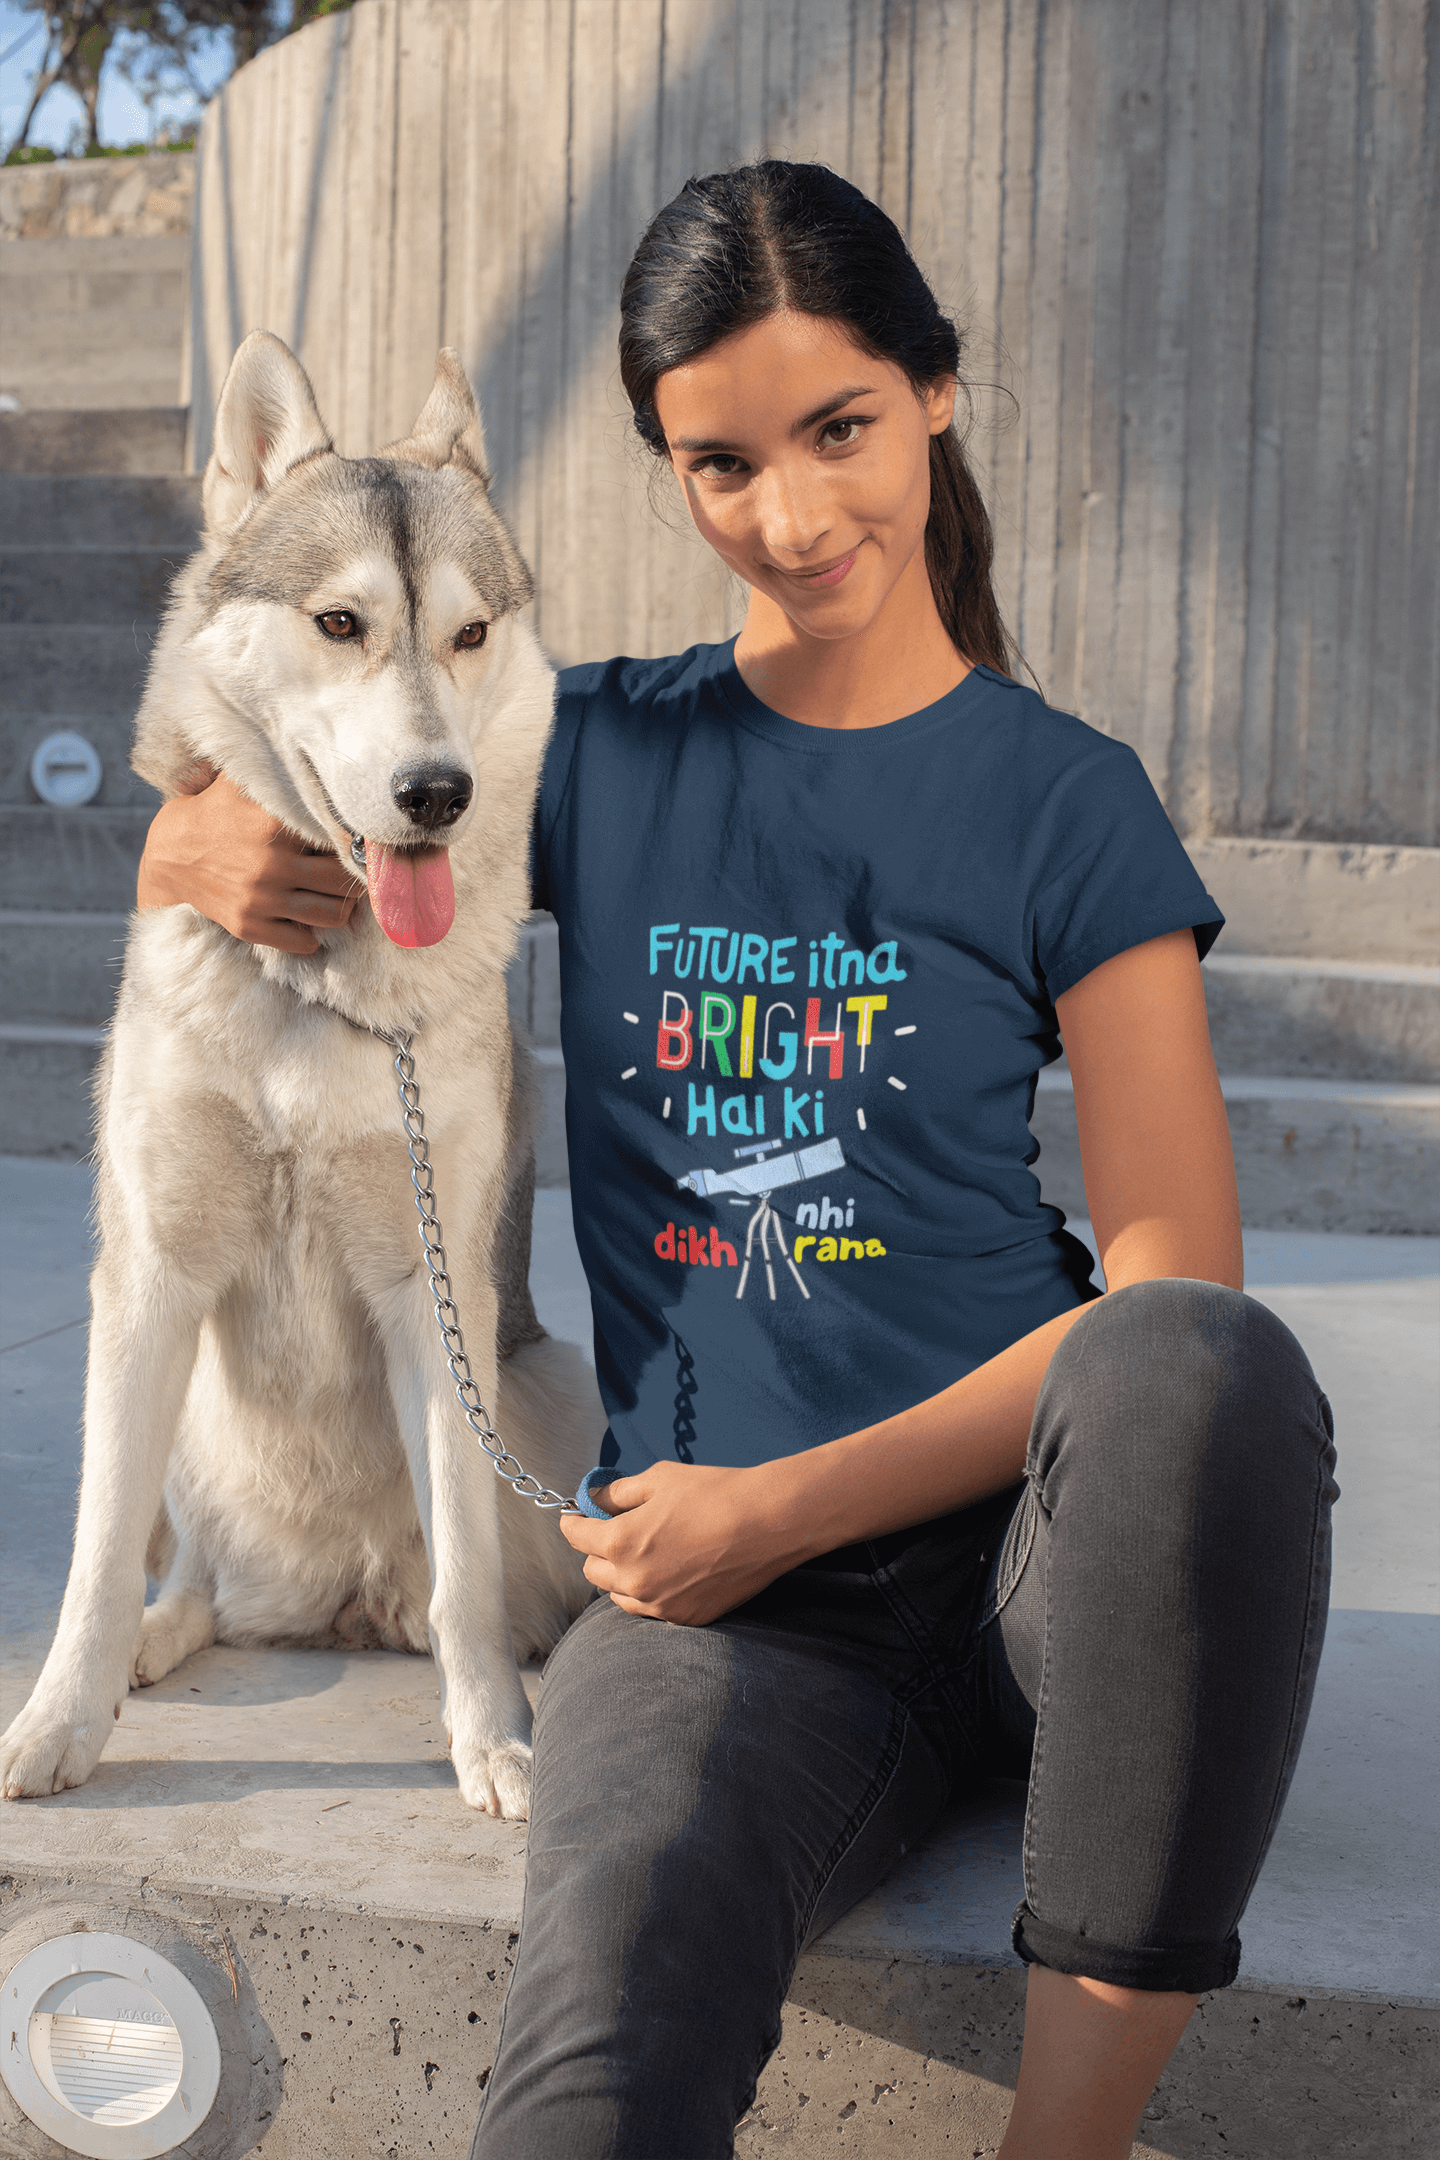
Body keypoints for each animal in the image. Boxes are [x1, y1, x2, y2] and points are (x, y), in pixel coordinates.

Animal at [0, 332, 600, 1823]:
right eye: (339, 624)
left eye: (471, 634)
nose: (437, 792)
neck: (316, 981)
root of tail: (336, 1598)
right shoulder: (148, 1279)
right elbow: (97, 1555)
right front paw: (59, 1720)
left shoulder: (434, 1303)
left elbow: (470, 1586)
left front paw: (494, 1741)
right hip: (172, 1393)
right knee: (190, 1576)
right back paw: (150, 1649)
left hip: (550, 1385)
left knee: (474, 1584)